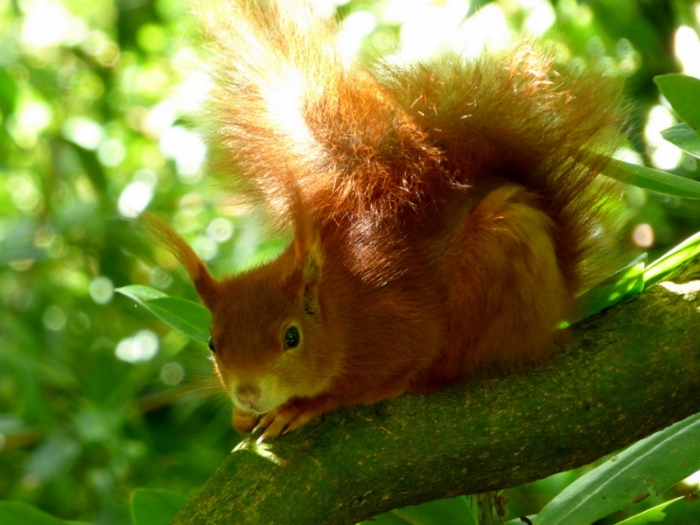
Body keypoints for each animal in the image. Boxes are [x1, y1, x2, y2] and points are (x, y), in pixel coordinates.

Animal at [143, 0, 626, 440]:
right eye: (212, 343)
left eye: (292, 337)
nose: (247, 393)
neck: (342, 311)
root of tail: (560, 295)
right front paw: (242, 417)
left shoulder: (398, 326)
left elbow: (380, 374)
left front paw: (307, 405)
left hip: (502, 253)